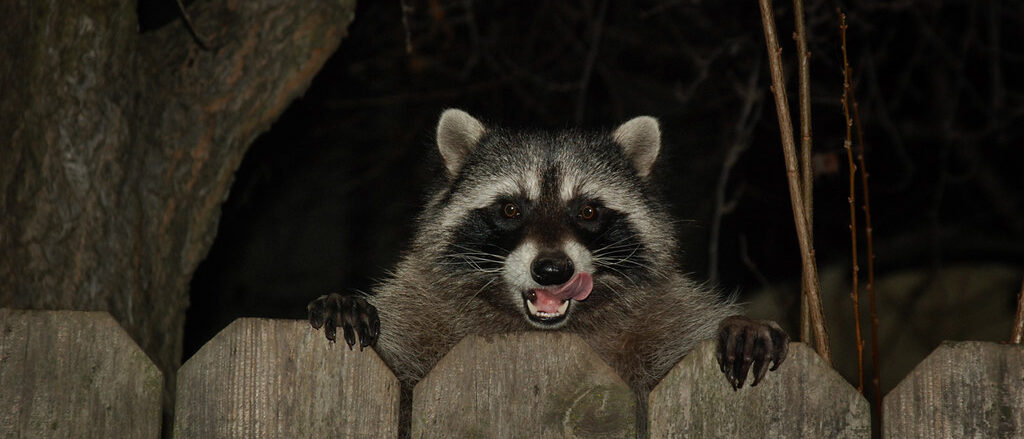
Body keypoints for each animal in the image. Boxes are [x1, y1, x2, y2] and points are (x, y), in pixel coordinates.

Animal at [308, 109, 788, 424]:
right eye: (510, 208)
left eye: (589, 211)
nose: (553, 271)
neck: (540, 333)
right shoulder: (424, 306)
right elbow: (400, 368)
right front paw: (350, 304)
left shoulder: (660, 314)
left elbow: (687, 333)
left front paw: (738, 324)